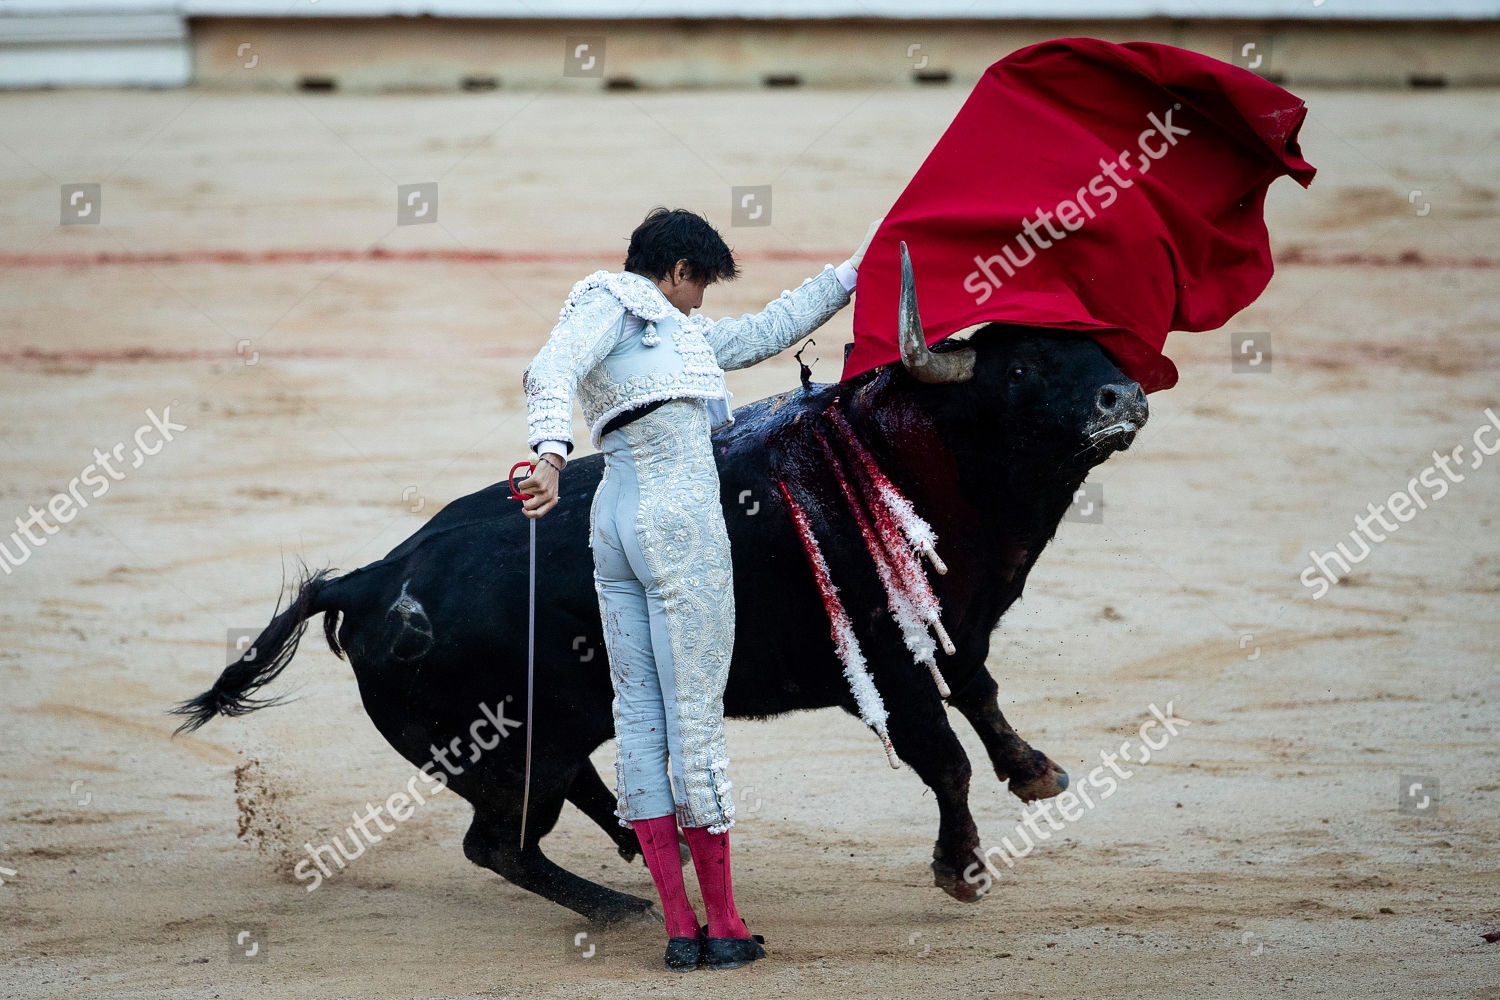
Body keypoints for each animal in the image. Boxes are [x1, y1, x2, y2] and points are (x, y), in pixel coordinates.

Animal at [178, 319, 1146, 923]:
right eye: (1019, 369)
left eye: (1095, 344)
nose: (1123, 399)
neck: (899, 452)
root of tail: (374, 579)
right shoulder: (883, 659)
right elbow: (943, 756)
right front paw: (962, 870)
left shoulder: (950, 626)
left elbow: (979, 694)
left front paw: (1037, 772)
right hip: (504, 751)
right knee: (499, 844)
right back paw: (625, 905)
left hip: (550, 732)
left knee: (560, 805)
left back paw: (658, 853)